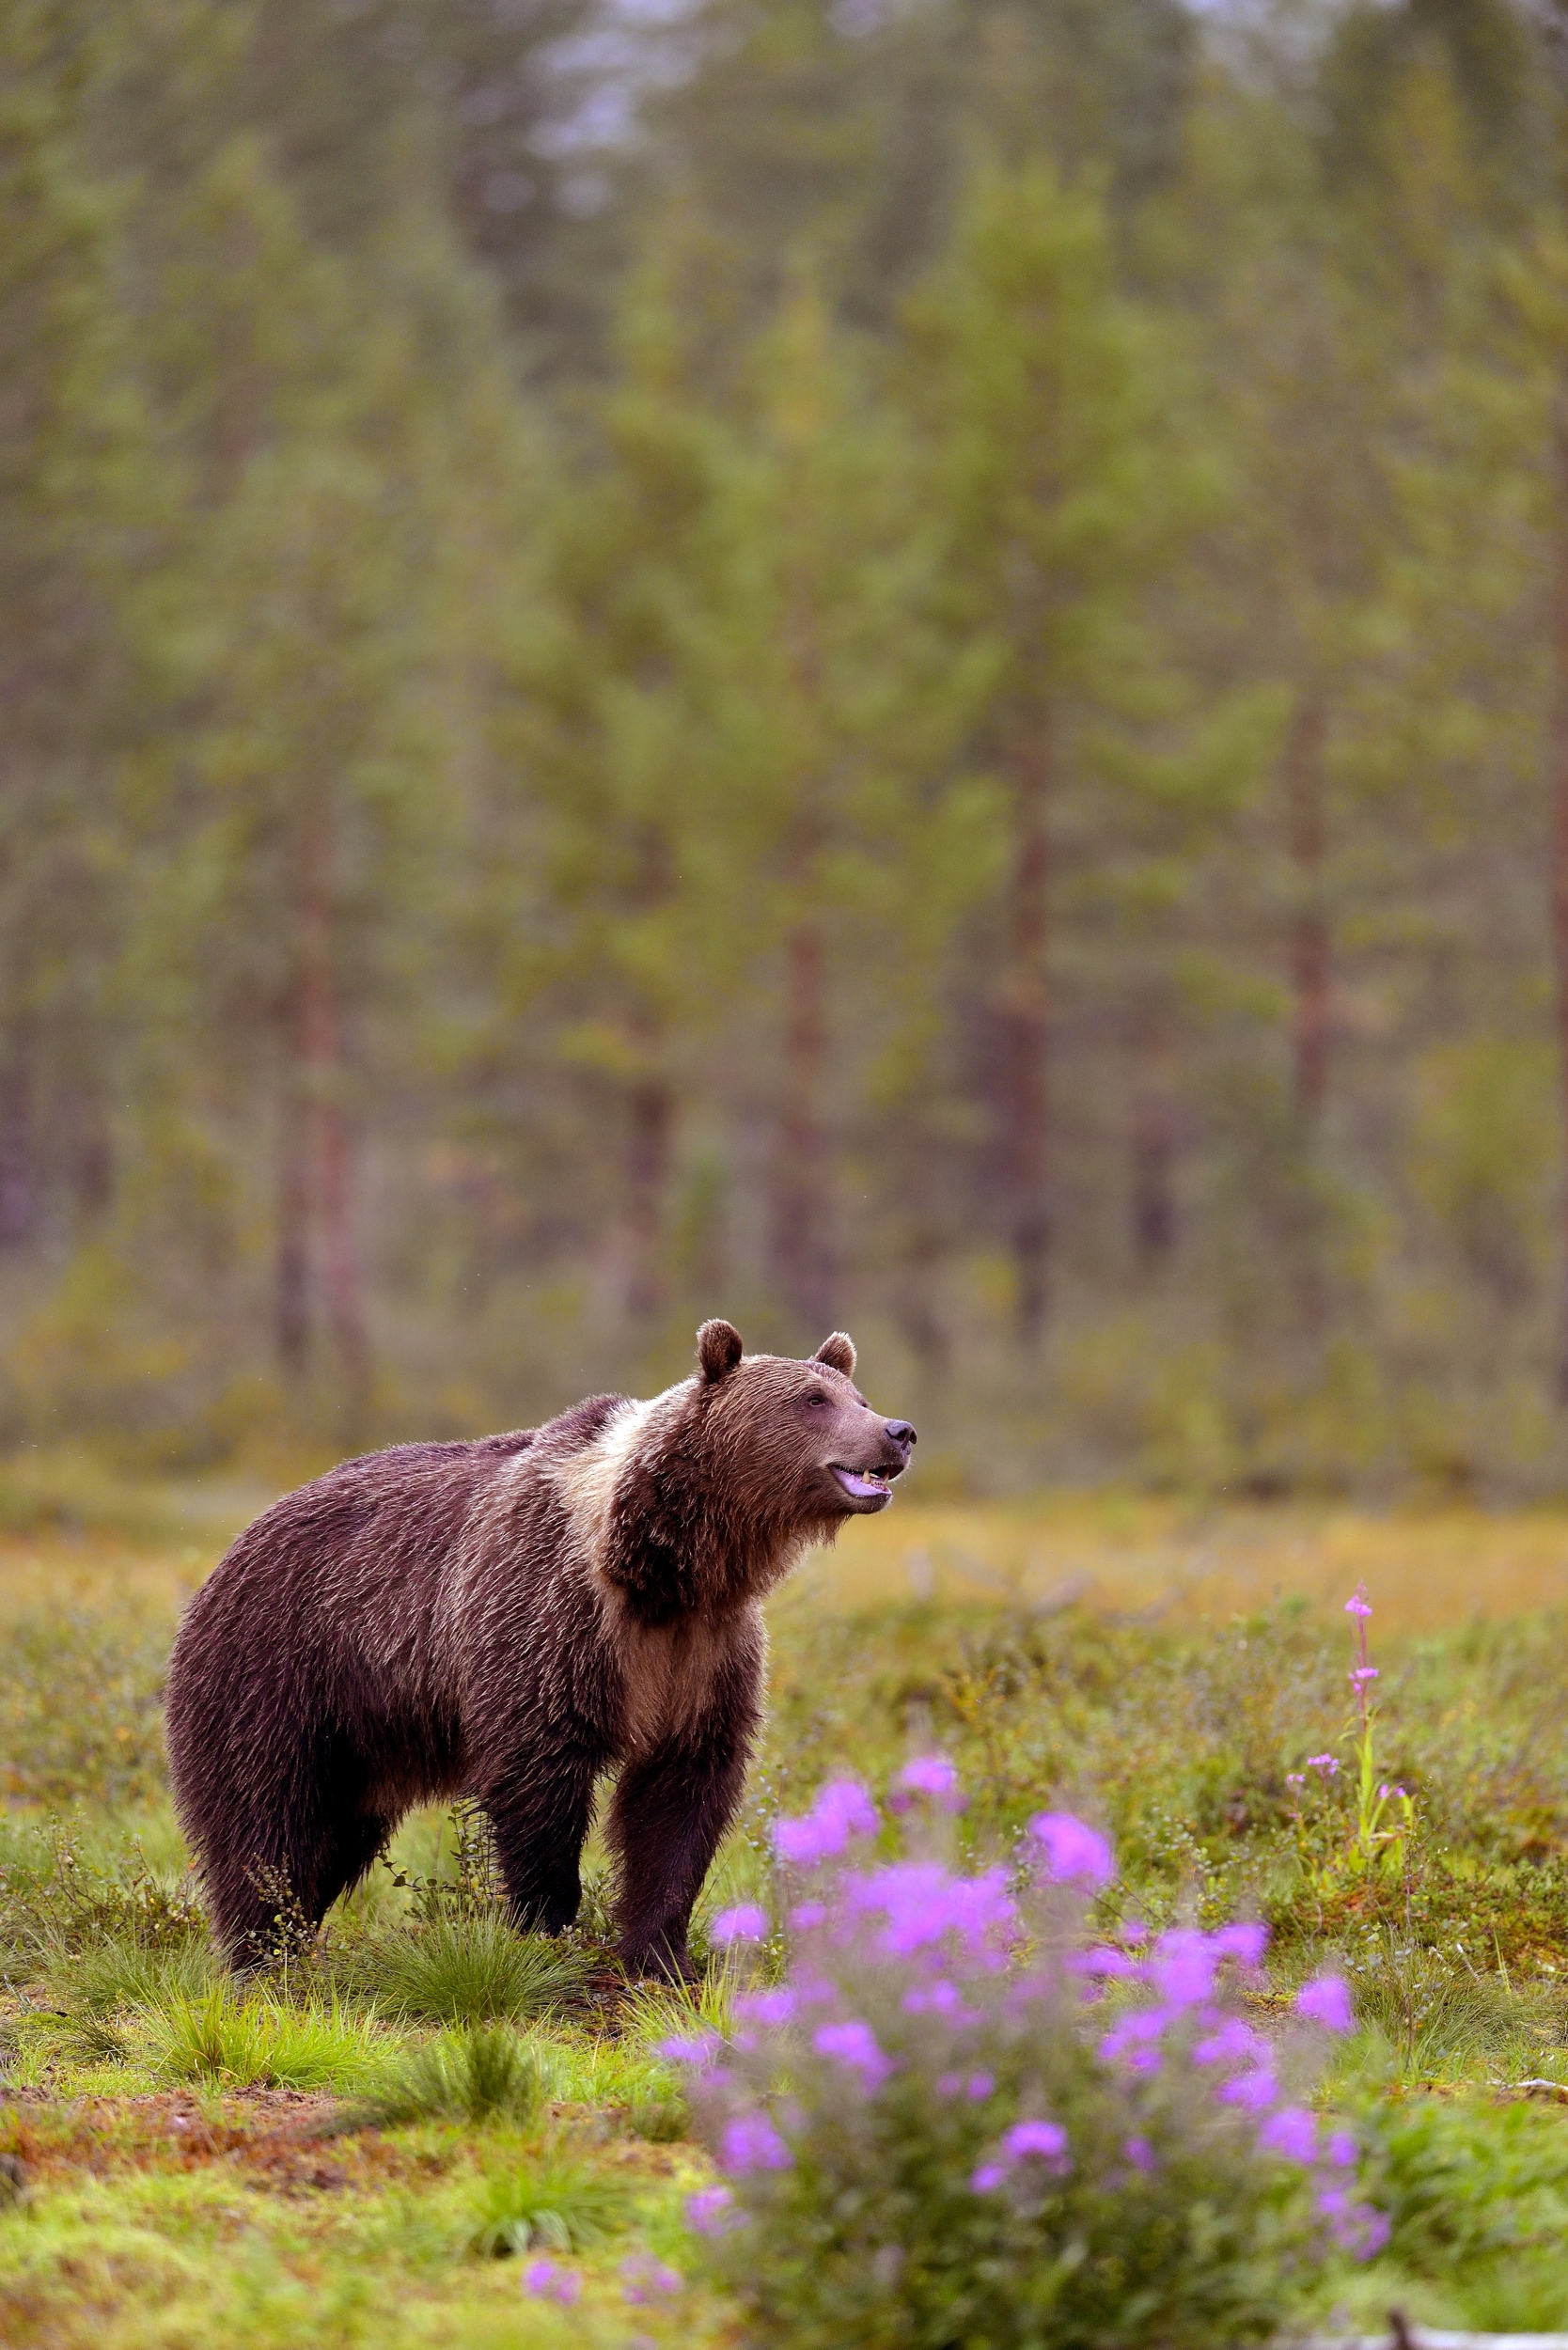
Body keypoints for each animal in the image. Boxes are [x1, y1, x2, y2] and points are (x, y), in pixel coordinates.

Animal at [163, 1320, 916, 1977]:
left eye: (859, 1397)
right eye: (813, 1400)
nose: (898, 1431)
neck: (661, 1569)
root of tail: (234, 1545)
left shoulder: (705, 1655)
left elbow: (681, 1798)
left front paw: (661, 1955)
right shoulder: (550, 1620)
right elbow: (539, 1778)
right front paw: (548, 1929)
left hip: (362, 1743)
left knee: (334, 1836)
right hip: (276, 1672)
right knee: (264, 1818)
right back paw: (262, 1954)